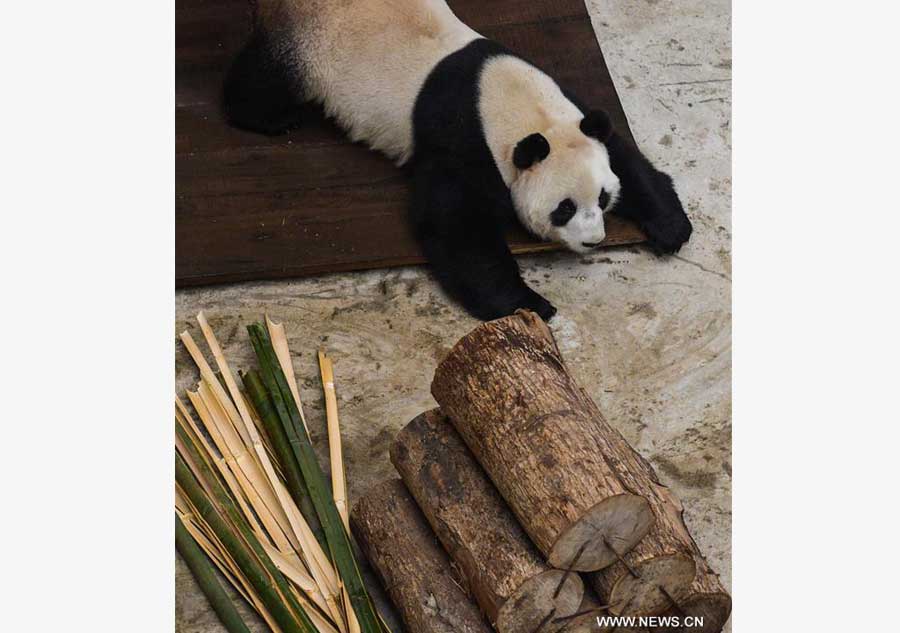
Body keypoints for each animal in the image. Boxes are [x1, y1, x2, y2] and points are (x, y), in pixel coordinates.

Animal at [224, 0, 693, 321]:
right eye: (564, 208)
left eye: (603, 198)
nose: (594, 241)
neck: (506, 99)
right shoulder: (462, 143)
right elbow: (455, 227)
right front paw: (531, 304)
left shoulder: (572, 112)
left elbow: (625, 156)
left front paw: (672, 227)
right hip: (310, 44)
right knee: (266, 77)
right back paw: (273, 119)